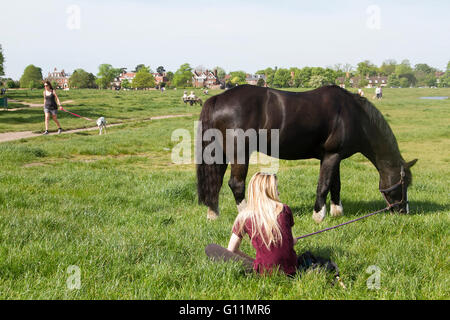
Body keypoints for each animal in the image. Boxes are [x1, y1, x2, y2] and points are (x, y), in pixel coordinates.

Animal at [197, 84, 418, 221]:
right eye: (403, 183)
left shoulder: (334, 157)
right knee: (236, 184)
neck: (354, 115)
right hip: (240, 153)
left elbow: (335, 185)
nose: (404, 211)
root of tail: (217, 99)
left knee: (215, 182)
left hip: (220, 153)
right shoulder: (331, 156)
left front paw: (337, 212)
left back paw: (213, 213)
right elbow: (324, 184)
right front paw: (319, 215)